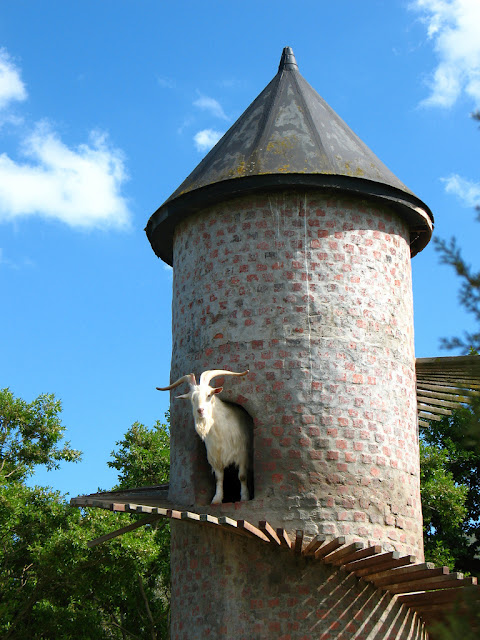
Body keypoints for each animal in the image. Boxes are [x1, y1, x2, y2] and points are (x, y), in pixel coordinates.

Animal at [157, 369, 251, 504]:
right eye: (192, 398)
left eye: (209, 395)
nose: (200, 410)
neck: (220, 433)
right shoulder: (215, 457)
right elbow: (218, 478)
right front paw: (217, 499)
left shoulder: (242, 454)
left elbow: (242, 476)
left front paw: (244, 497)